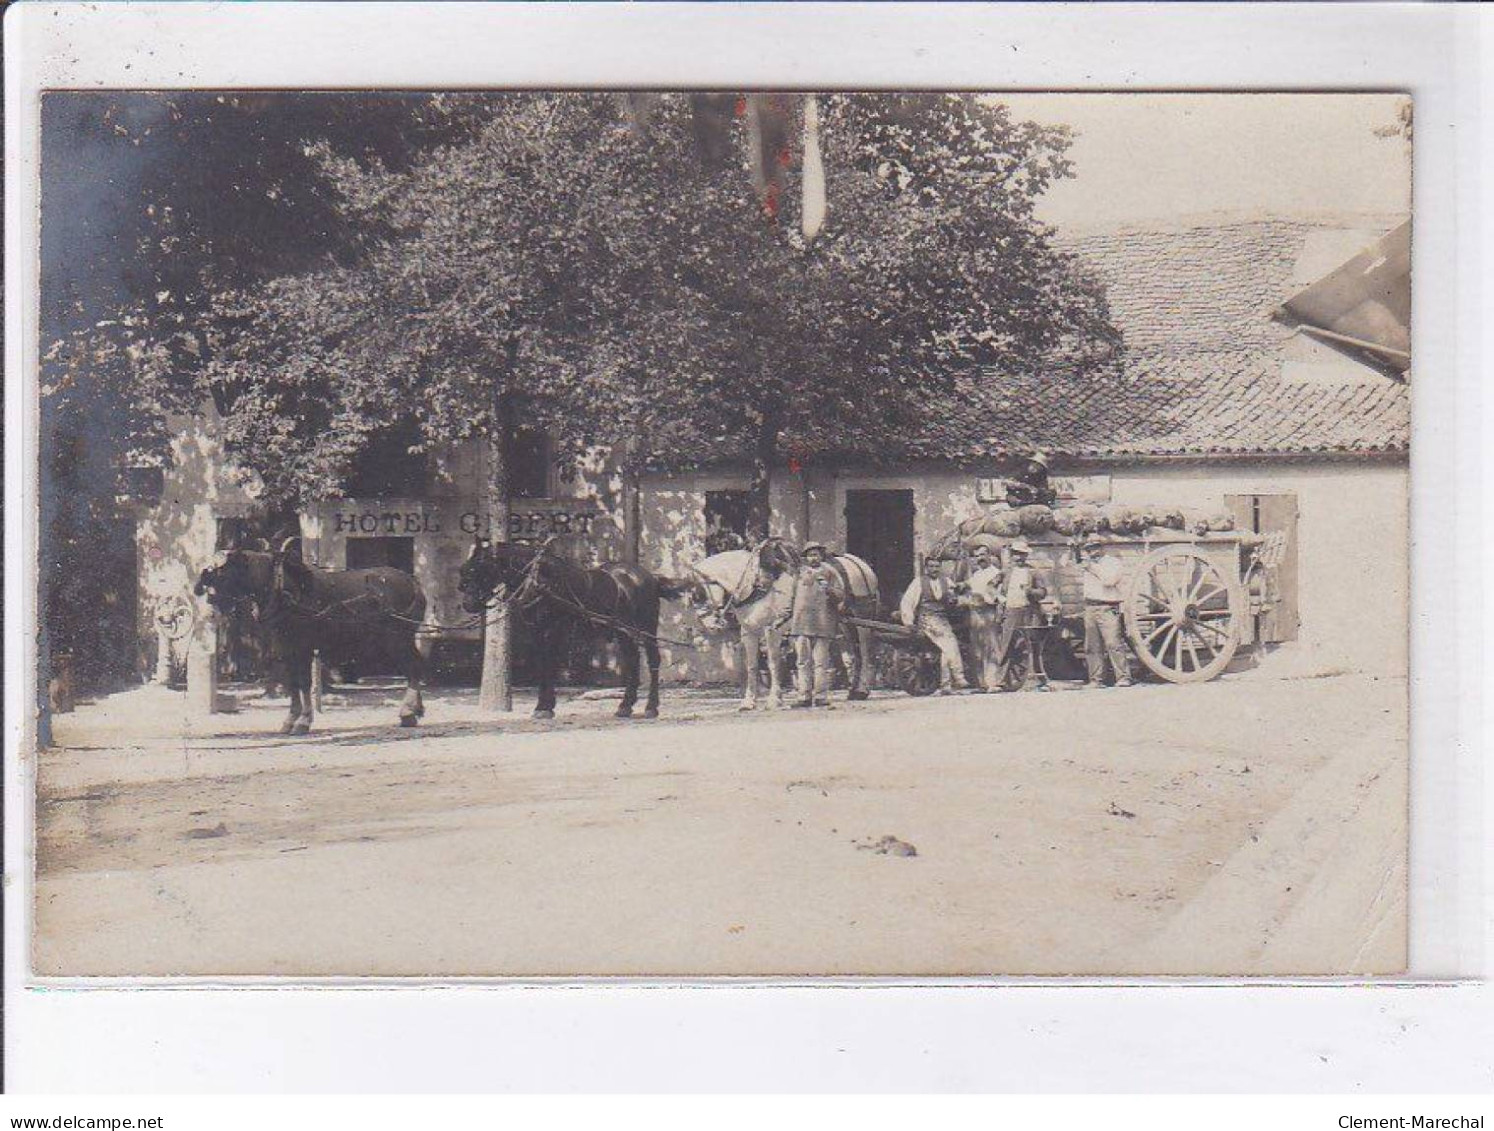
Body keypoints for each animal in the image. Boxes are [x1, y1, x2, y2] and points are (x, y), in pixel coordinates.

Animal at [191, 537, 427, 732]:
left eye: (223, 572)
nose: (212, 605)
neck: (284, 589)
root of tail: (413, 582)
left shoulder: (302, 648)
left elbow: (304, 682)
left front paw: (303, 720)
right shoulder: (285, 648)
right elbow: (292, 683)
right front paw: (290, 719)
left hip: (398, 638)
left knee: (414, 667)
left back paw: (407, 712)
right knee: (415, 666)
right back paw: (416, 710)